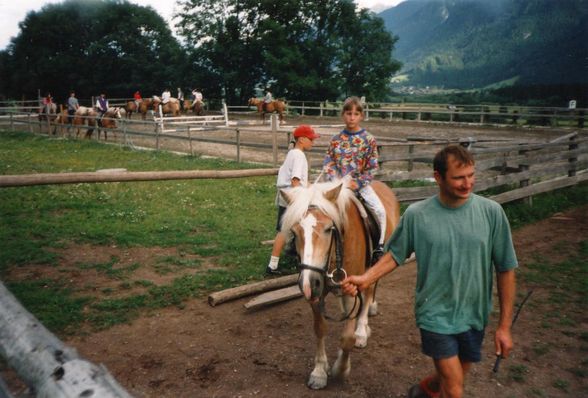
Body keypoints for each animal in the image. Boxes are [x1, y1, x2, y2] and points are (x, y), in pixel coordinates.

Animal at [280, 179, 400, 390]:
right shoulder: (317, 290)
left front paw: (340, 369)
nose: (308, 283)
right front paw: (319, 372)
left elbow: (347, 338)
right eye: (294, 231)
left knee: (369, 291)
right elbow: (320, 328)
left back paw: (362, 329)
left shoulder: (353, 287)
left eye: (329, 229)